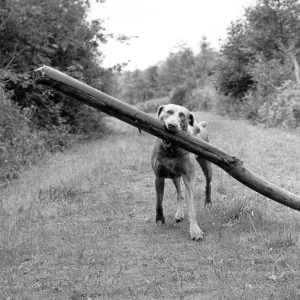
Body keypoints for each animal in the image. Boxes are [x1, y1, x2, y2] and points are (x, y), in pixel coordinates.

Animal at [151, 104, 212, 240]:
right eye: (168, 112)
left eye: (182, 115)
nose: (172, 125)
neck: (170, 149)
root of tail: (200, 125)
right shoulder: (159, 177)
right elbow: (158, 202)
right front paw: (159, 220)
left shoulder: (188, 178)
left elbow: (192, 208)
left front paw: (195, 231)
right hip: (175, 176)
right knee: (179, 193)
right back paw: (179, 213)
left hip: (207, 165)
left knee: (208, 184)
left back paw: (208, 202)